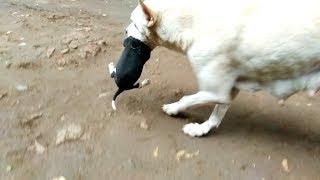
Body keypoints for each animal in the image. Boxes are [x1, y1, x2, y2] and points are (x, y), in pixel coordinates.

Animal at [125, 0, 320, 136]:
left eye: (133, 23)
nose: (125, 32)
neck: (193, 22)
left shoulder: (215, 91)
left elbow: (187, 98)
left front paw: (174, 107)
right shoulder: (228, 88)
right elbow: (217, 114)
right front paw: (201, 129)